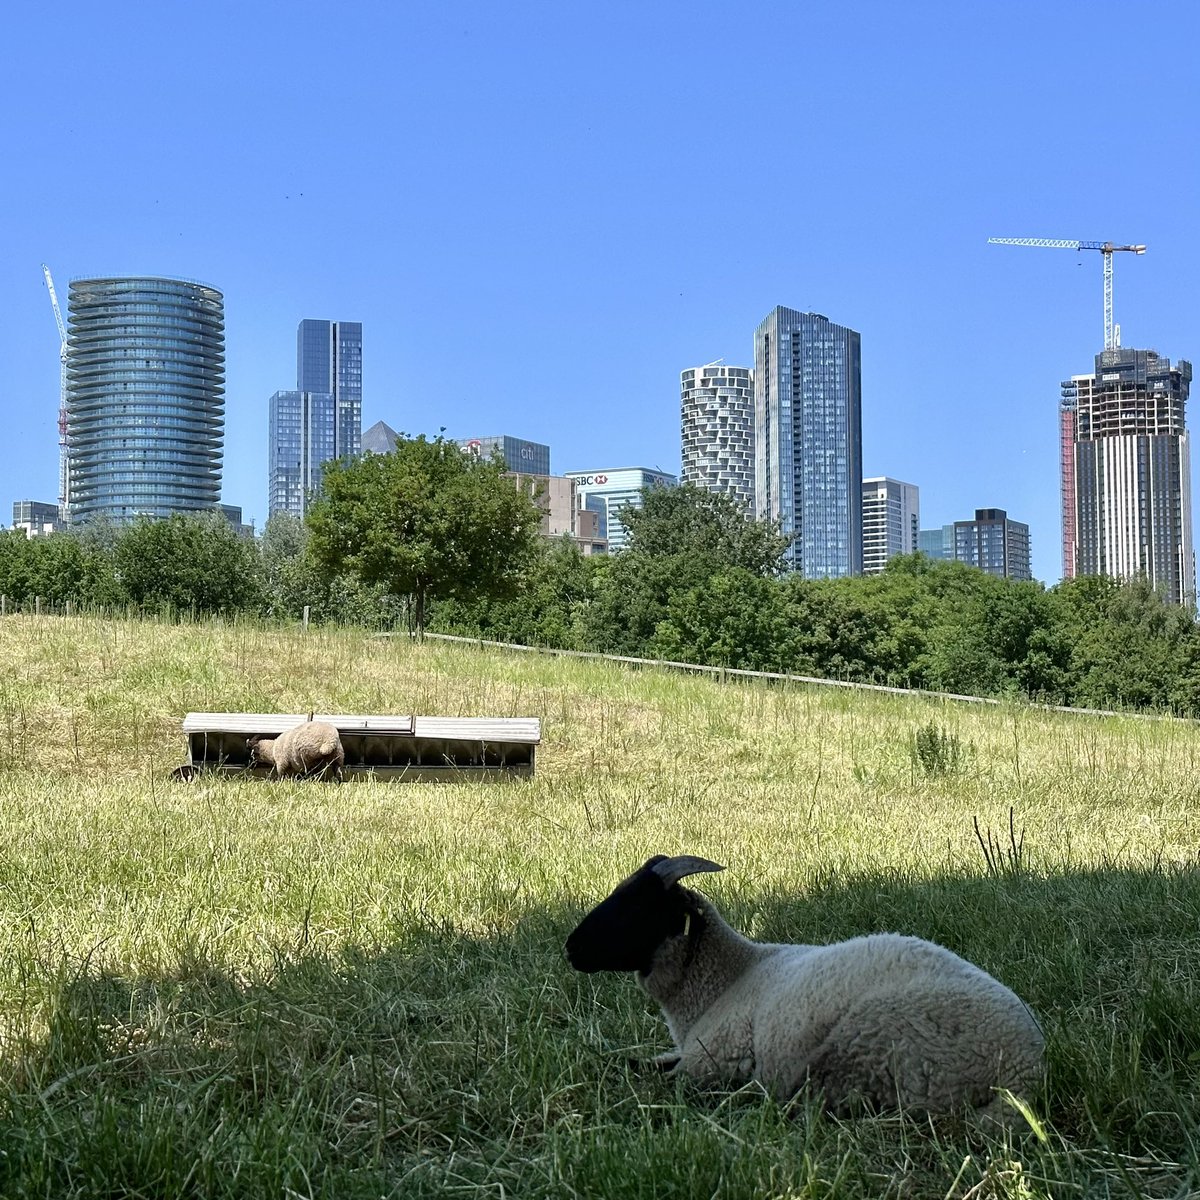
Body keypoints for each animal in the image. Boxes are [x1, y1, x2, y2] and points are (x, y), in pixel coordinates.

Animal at [561, 854, 1041, 1113]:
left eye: (637, 905)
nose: (571, 948)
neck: (725, 979)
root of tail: (1027, 1069)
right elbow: (631, 1064)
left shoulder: (714, 1059)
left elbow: (657, 1080)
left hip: (870, 1045)